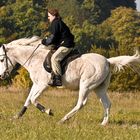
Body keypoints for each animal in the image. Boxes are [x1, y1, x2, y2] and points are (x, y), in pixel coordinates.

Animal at [0, 36, 140, 126]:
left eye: (1, 60)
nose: (2, 76)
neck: (35, 58)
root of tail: (108, 61)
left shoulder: (43, 85)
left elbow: (34, 100)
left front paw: (48, 111)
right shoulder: (36, 84)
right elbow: (28, 100)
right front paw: (17, 117)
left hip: (86, 85)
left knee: (81, 103)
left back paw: (63, 120)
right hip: (99, 88)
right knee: (106, 103)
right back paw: (103, 123)